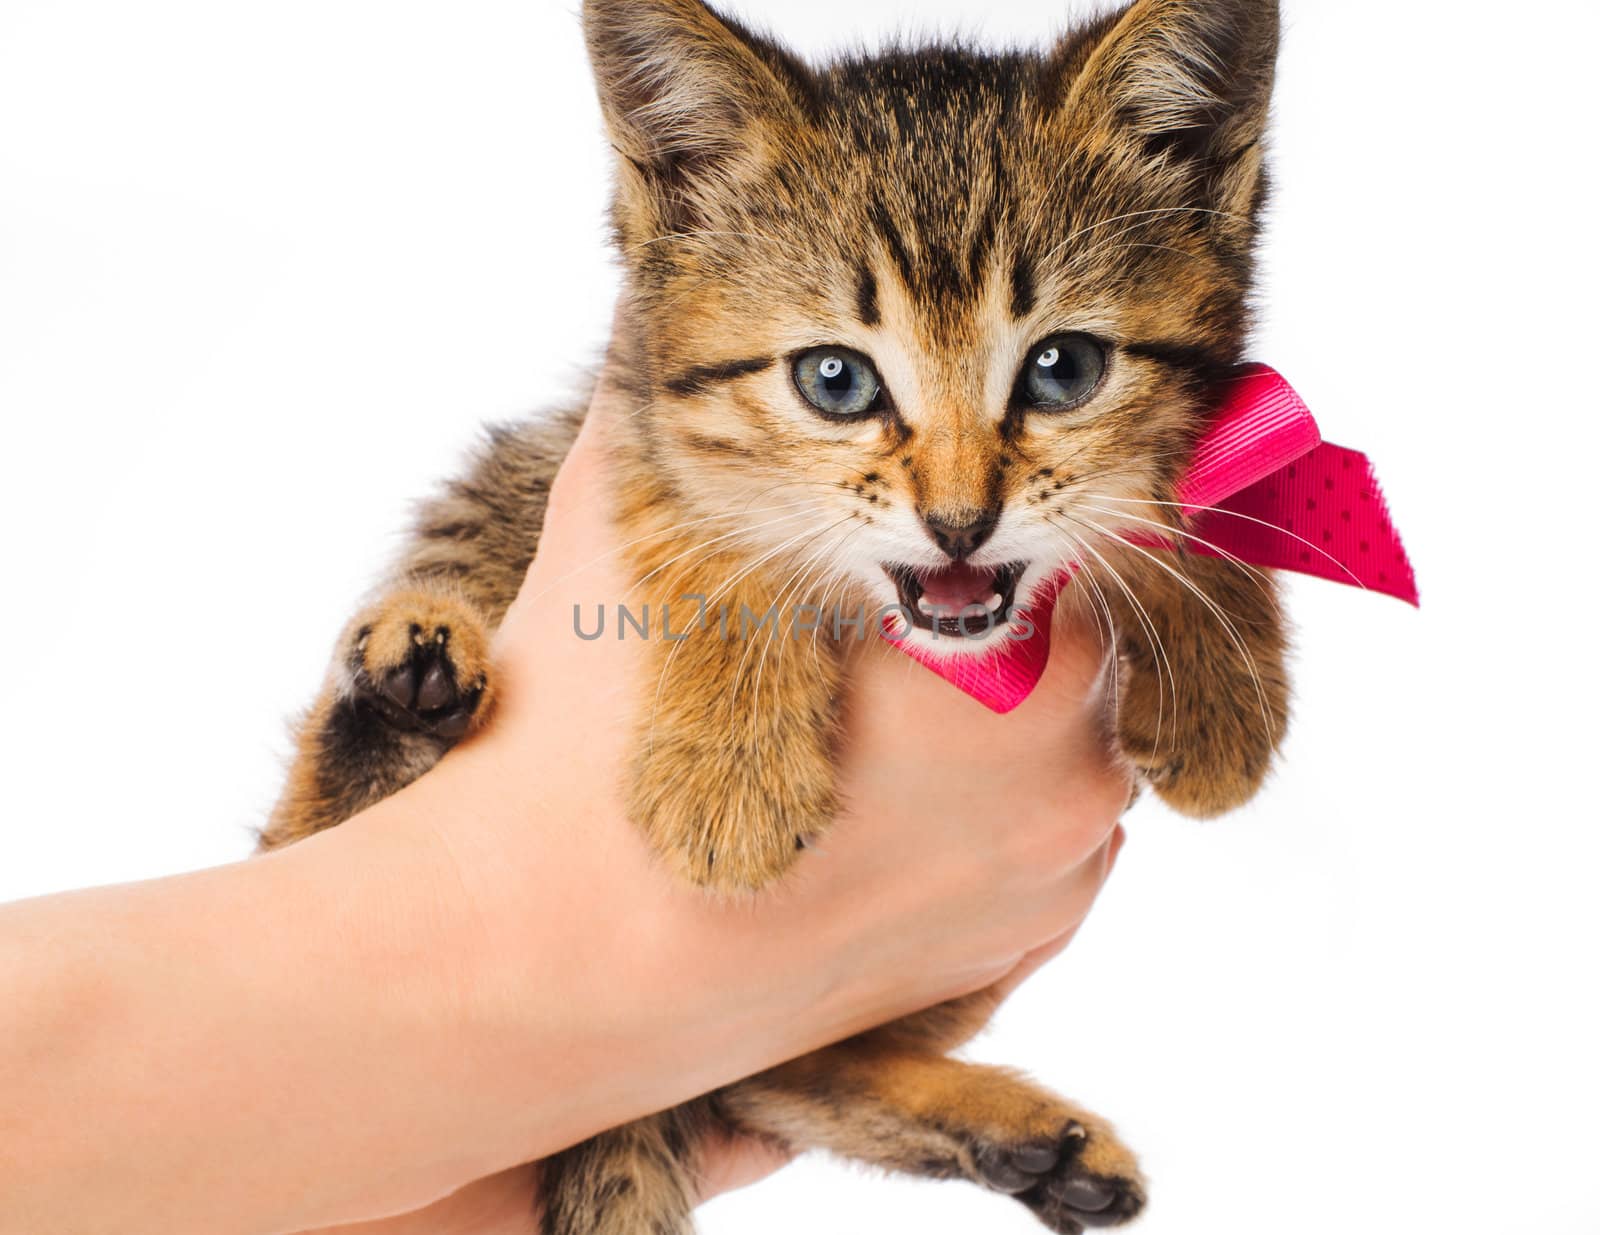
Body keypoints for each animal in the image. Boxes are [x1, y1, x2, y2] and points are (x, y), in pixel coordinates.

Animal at [262, 0, 1286, 1228]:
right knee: (309, 847)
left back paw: (1020, 1137)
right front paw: (728, 772)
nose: (959, 523)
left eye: (1063, 367)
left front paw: (1220, 682)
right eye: (835, 381)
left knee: (773, 1068)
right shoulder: (626, 416)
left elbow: (1203, 500)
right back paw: (400, 683)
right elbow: (711, 528)